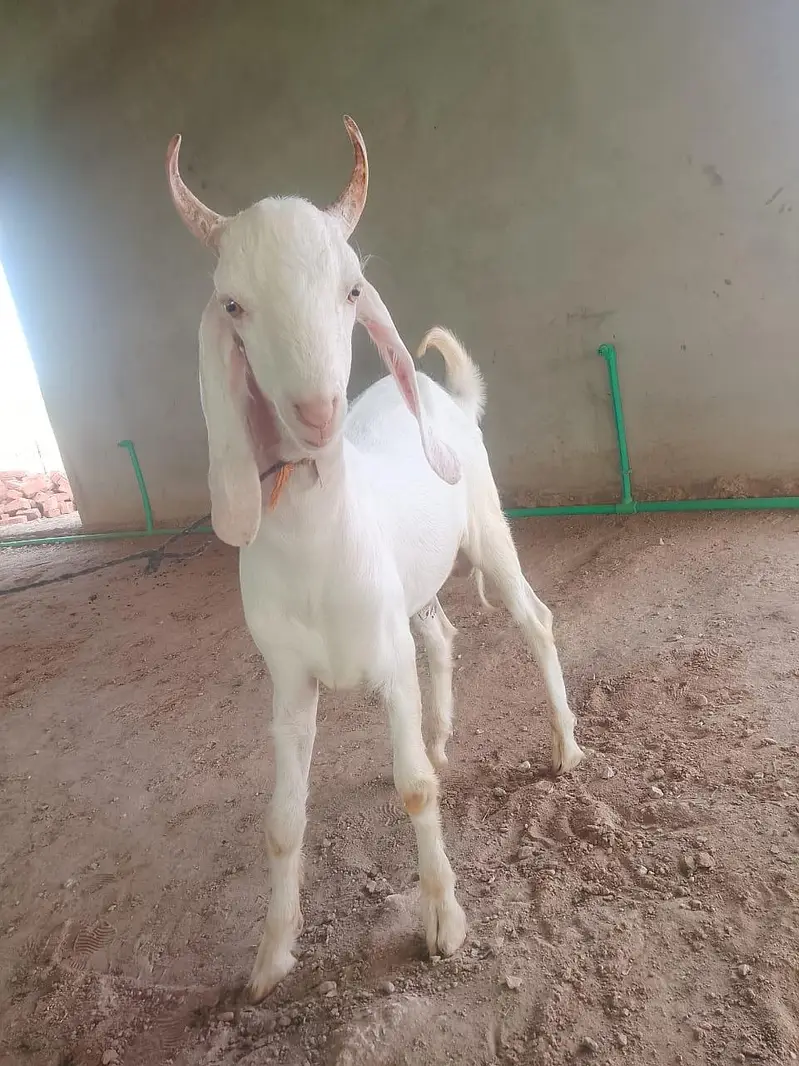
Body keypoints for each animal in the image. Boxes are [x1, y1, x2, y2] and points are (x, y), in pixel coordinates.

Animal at [166, 117, 584, 1002]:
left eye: (352, 290)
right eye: (233, 304)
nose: (317, 412)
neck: (316, 544)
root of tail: (444, 397)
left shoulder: (385, 661)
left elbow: (415, 787)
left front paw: (443, 924)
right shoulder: (289, 683)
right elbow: (281, 822)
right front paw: (269, 959)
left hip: (487, 528)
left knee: (533, 619)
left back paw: (565, 746)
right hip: (414, 591)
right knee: (444, 636)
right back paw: (445, 733)